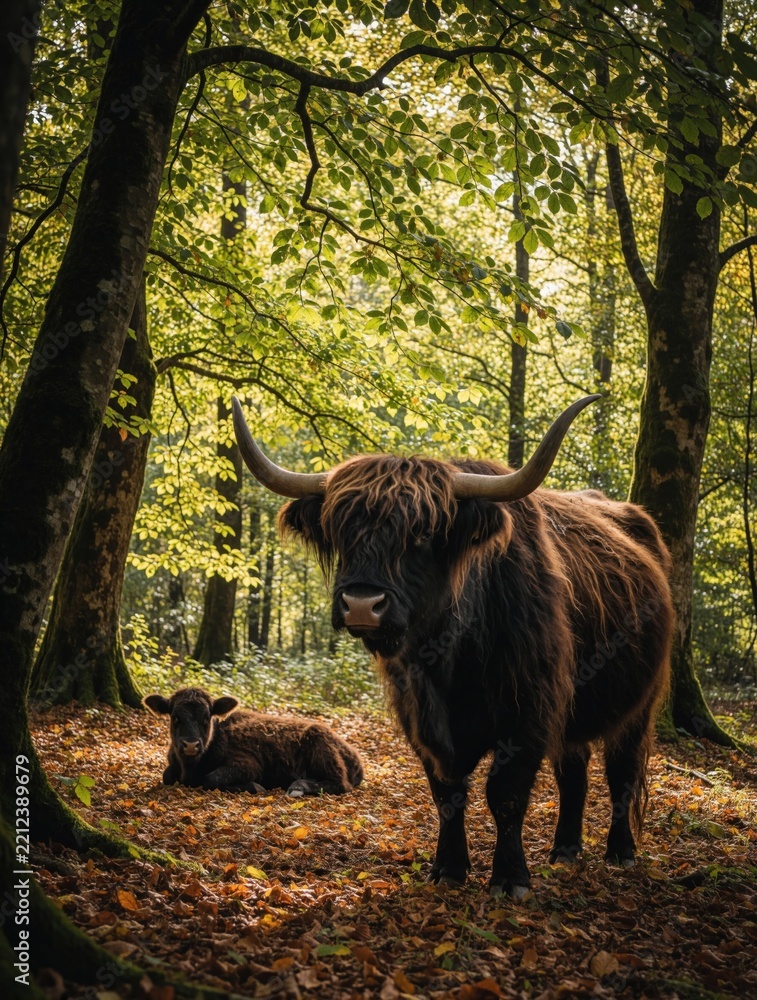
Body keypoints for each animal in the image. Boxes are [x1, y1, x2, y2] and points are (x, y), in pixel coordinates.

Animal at [143, 687, 364, 796]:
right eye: (175, 717)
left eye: (206, 717)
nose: (190, 745)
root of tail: (354, 754)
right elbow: (167, 776)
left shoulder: (247, 765)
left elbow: (211, 778)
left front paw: (255, 787)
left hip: (323, 751)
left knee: (340, 783)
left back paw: (297, 787)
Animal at [231, 394, 673, 898]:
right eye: (340, 530)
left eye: (422, 534)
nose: (362, 604)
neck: (451, 661)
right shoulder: (422, 719)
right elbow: (447, 792)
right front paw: (449, 869)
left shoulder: (529, 711)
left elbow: (506, 794)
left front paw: (510, 878)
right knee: (573, 772)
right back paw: (564, 850)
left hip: (639, 705)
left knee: (621, 773)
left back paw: (620, 852)